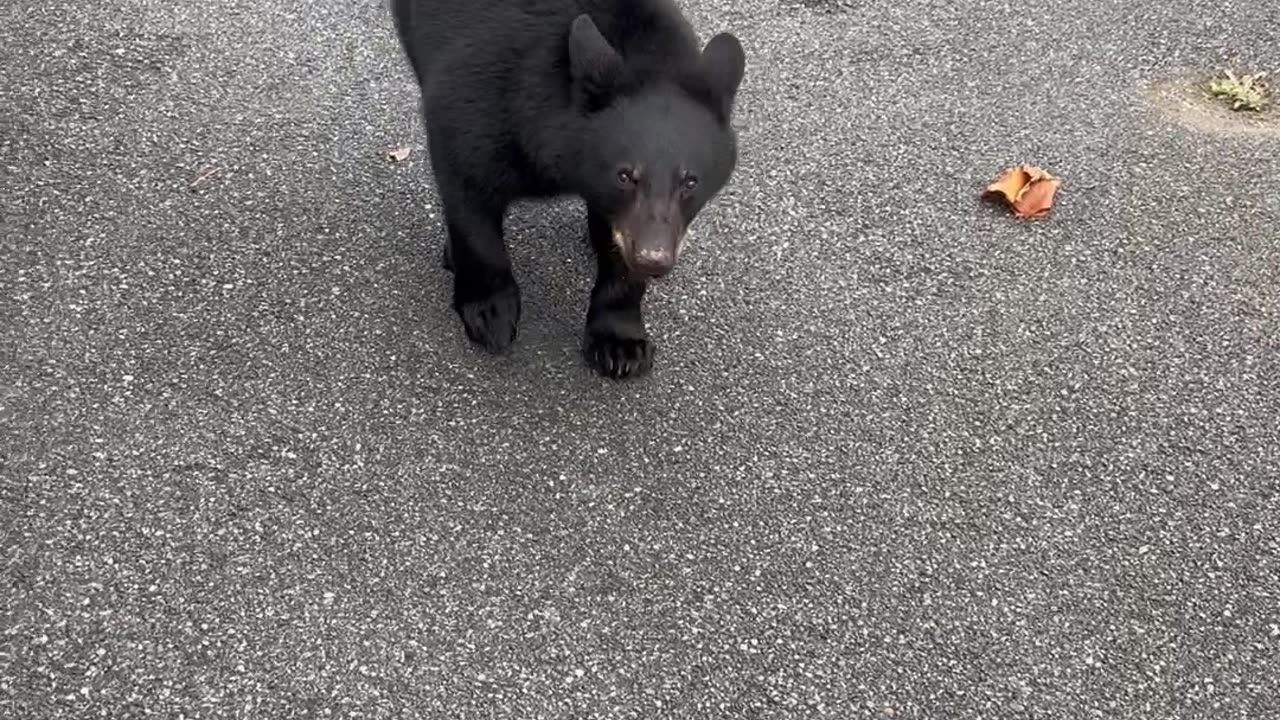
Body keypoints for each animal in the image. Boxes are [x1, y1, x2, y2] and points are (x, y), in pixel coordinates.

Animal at [391, 0, 747, 379]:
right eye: (624, 175)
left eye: (690, 181)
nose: (654, 259)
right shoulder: (478, 97)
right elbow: (469, 195)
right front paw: (490, 311)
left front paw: (620, 340)